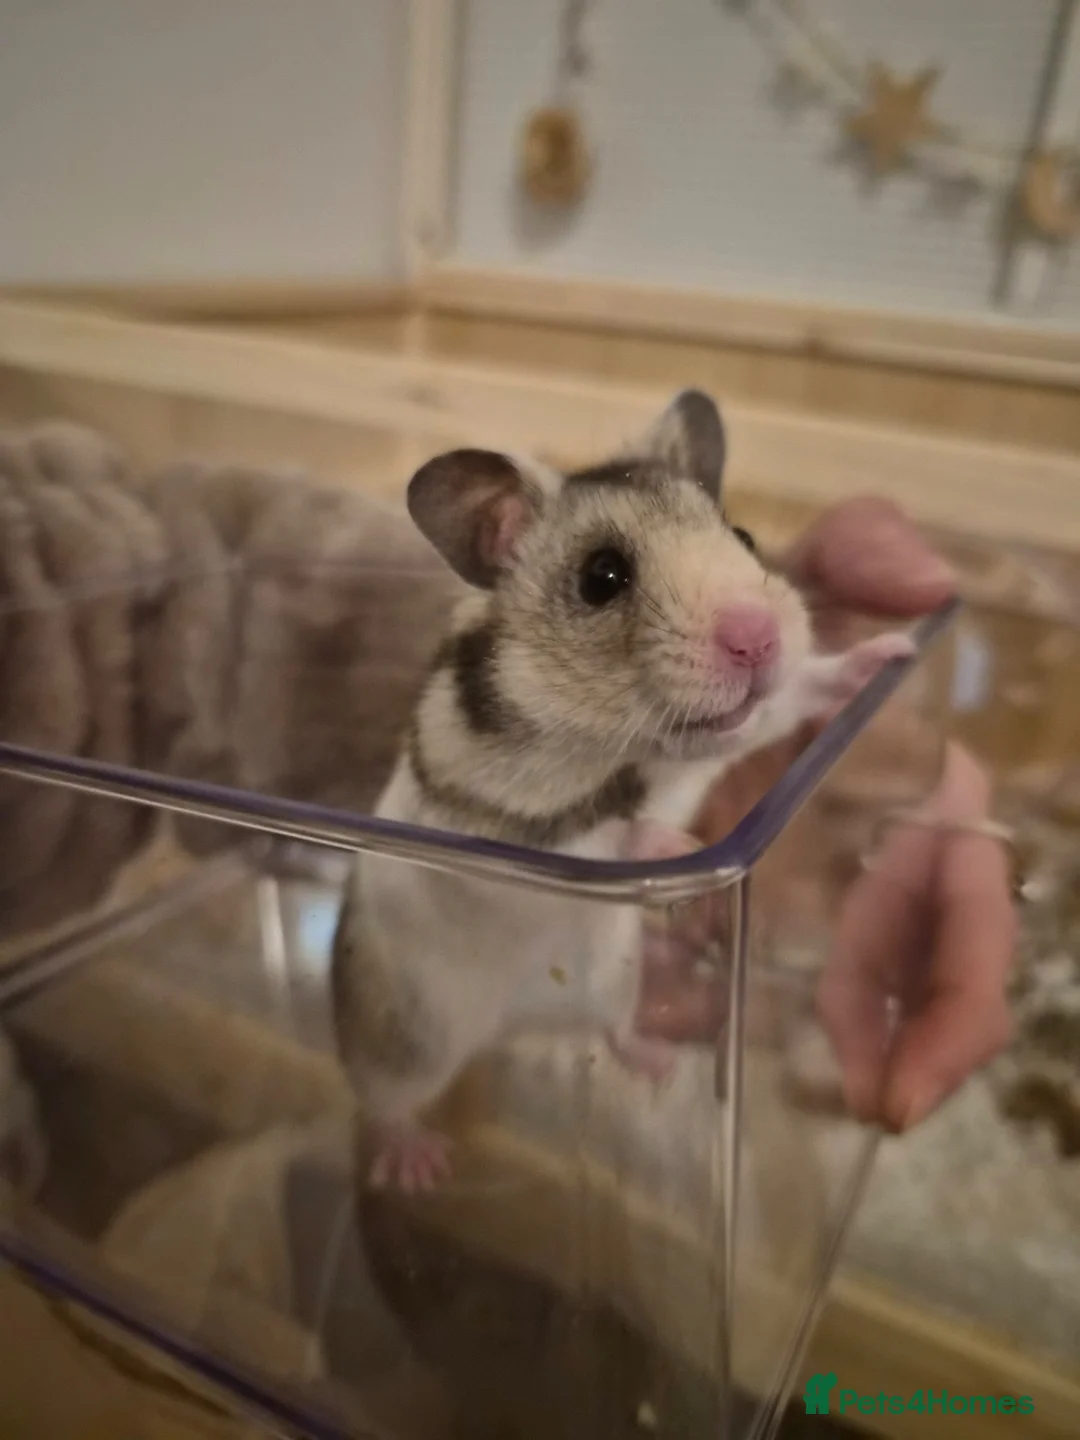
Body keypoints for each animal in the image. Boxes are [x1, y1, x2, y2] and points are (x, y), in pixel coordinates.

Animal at [331, 389, 914, 1191]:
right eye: (602, 578)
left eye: (744, 535)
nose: (758, 637)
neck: (638, 751)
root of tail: (512, 1028)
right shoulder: (492, 835)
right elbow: (600, 838)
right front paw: (678, 847)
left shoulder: (750, 724)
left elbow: (802, 692)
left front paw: (895, 651)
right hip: (403, 1041)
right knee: (381, 1100)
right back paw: (417, 1168)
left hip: (611, 983)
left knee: (608, 1030)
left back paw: (657, 1063)